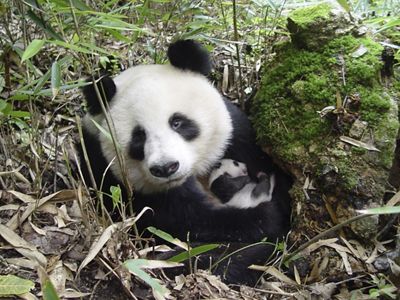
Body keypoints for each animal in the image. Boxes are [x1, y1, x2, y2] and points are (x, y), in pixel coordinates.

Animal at [79, 38, 290, 284]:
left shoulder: (237, 137)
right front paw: (263, 217)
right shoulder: (112, 175)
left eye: (177, 122)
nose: (166, 167)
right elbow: (191, 221)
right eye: (138, 136)